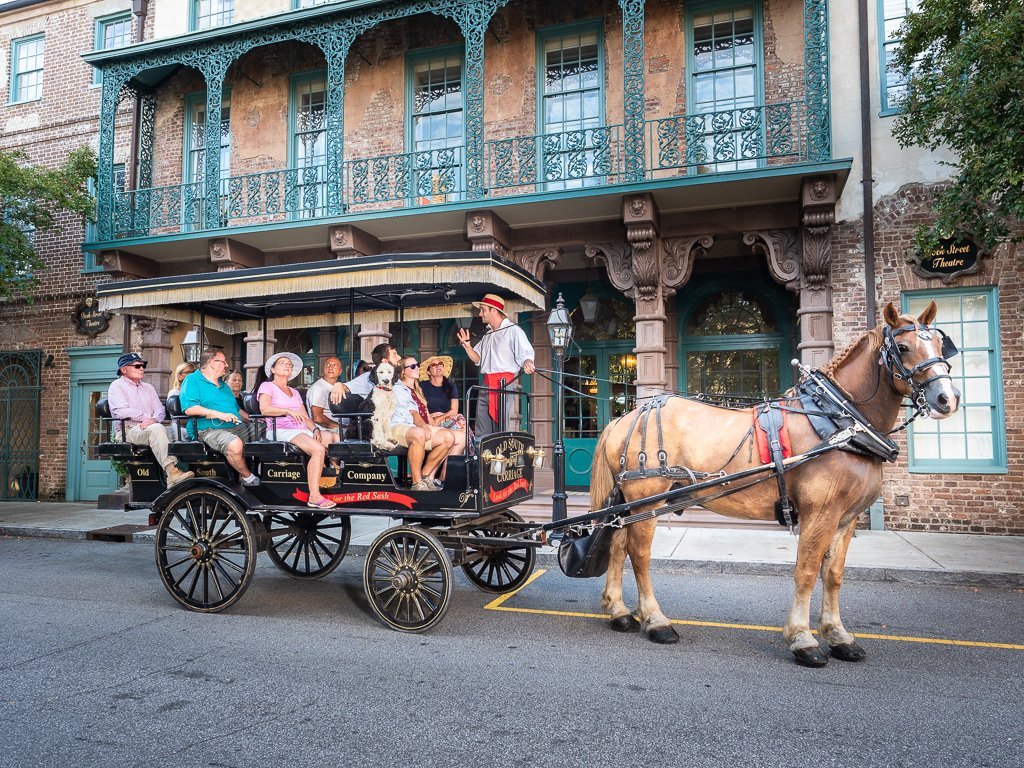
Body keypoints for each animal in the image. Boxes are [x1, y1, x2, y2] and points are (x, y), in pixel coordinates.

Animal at [589, 303, 962, 667]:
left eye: (941, 343)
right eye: (903, 347)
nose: (948, 398)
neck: (840, 422)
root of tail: (624, 418)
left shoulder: (846, 518)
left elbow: (833, 575)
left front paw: (838, 636)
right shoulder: (819, 513)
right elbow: (806, 572)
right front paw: (802, 639)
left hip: (629, 502)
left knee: (617, 545)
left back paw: (619, 611)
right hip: (647, 498)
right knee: (638, 553)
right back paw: (655, 621)